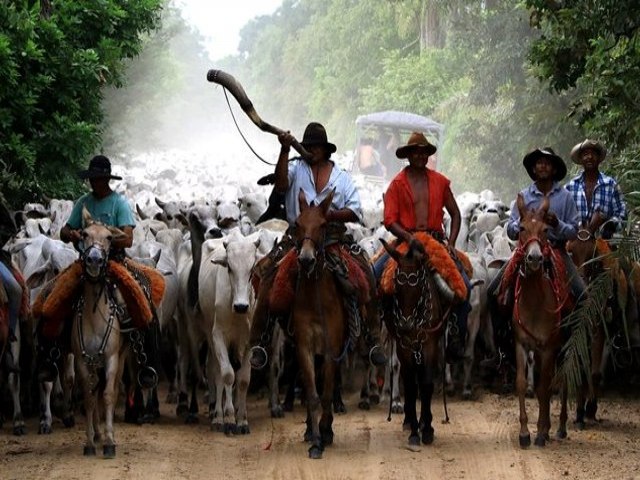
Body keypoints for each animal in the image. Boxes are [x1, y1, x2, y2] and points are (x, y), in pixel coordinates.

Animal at [380, 238, 444, 444]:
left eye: (418, 287)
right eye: (396, 287)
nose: (405, 324)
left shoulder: (430, 346)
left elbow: (426, 384)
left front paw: (427, 428)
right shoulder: (405, 348)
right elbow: (409, 385)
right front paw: (415, 430)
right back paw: (407, 417)